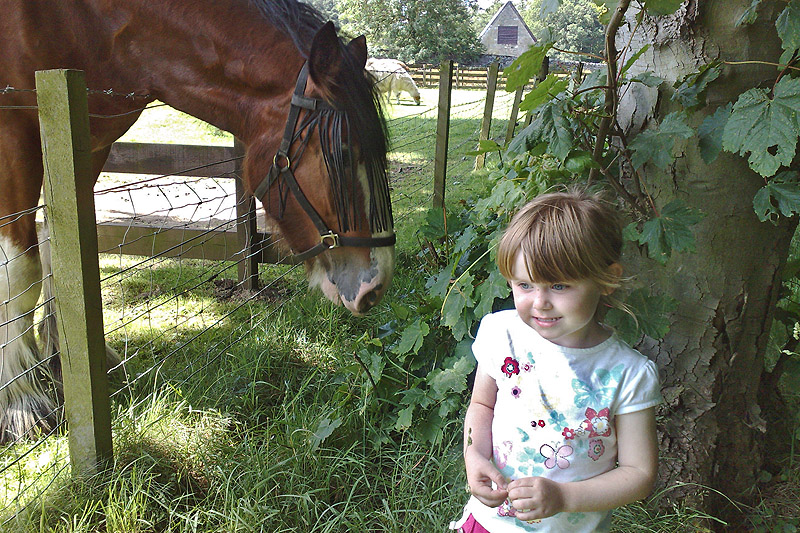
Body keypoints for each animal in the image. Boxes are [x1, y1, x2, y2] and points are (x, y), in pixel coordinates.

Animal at [0, 0, 394, 440]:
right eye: (342, 152)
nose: (376, 286)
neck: (87, 20)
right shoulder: (12, 133)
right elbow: (21, 271)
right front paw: (20, 400)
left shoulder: (87, 140)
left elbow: (60, 250)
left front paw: (61, 359)